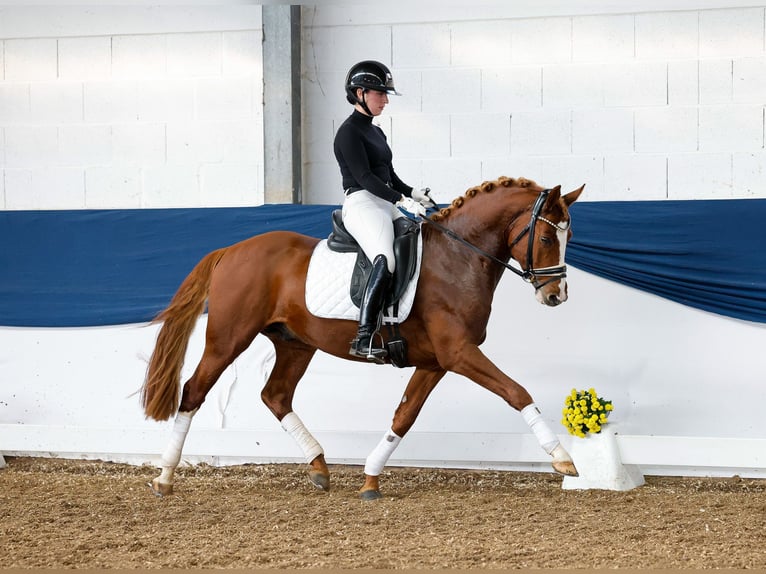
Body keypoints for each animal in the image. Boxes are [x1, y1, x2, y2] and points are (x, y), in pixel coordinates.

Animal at [144, 176, 584, 500]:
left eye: (568, 238)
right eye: (547, 239)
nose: (556, 296)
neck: (457, 258)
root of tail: (230, 250)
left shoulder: (435, 362)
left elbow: (403, 417)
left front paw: (371, 478)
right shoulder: (458, 353)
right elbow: (517, 392)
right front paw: (563, 458)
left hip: (295, 343)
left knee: (276, 396)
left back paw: (319, 467)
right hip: (228, 338)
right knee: (194, 391)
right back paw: (165, 477)